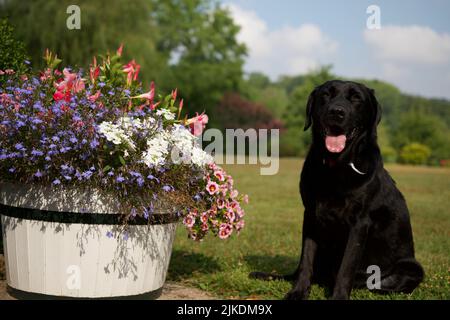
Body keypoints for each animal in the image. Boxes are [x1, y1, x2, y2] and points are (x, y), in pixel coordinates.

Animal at [251, 80, 424, 300]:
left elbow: (346, 267)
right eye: (326, 95)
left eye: (356, 97)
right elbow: (306, 260)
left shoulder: (359, 223)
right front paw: (298, 291)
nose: (337, 112)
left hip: (413, 268)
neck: (335, 167)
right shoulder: (311, 215)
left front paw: (339, 296)